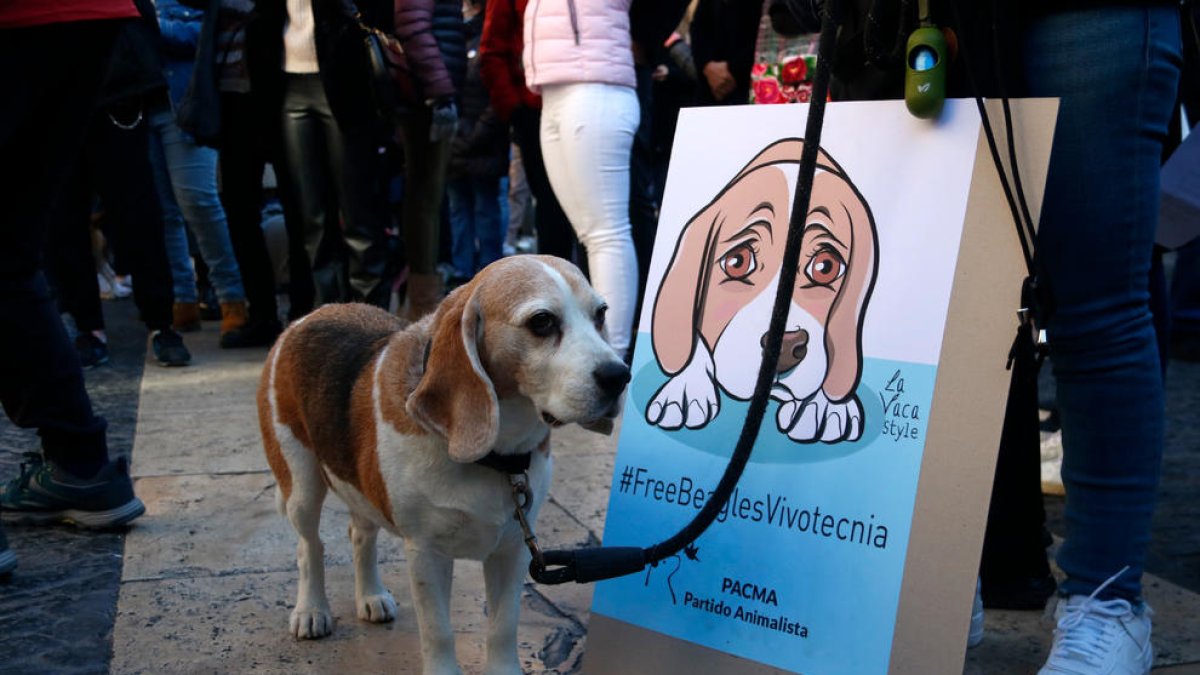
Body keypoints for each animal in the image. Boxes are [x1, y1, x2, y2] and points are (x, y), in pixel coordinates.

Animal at [259, 254, 633, 667]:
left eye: (600, 314)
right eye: (542, 321)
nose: (620, 376)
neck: (496, 456)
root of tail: (310, 315)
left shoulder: (513, 549)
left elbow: (503, 629)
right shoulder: (427, 554)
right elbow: (439, 633)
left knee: (360, 534)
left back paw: (370, 595)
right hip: (301, 485)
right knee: (309, 547)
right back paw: (311, 610)